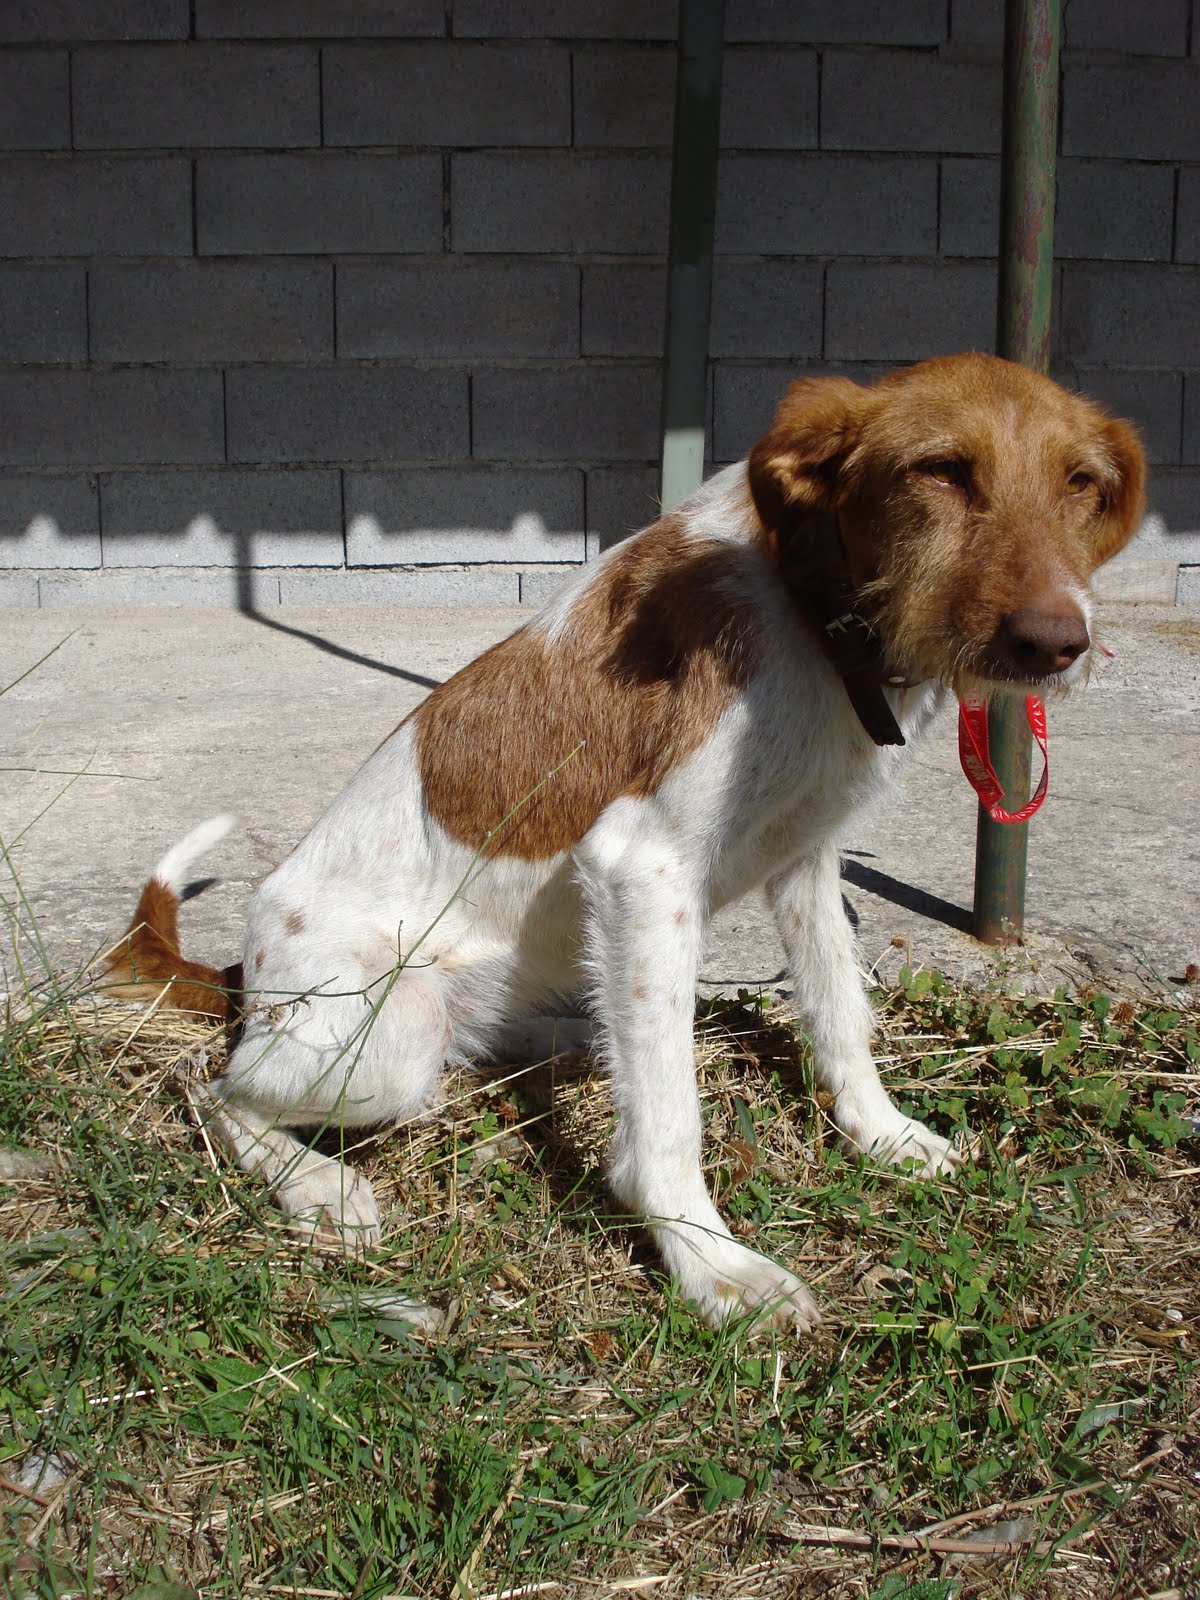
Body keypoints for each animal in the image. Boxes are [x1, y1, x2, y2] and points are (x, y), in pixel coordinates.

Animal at [106, 353, 1145, 1333]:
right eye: (940, 470)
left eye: (1080, 482)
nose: (1056, 642)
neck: (812, 600)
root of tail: (244, 982)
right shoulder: (643, 868)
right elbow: (669, 1122)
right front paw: (713, 1266)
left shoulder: (805, 860)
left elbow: (838, 1009)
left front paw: (881, 1133)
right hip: (382, 1042)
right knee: (215, 1091)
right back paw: (320, 1183)